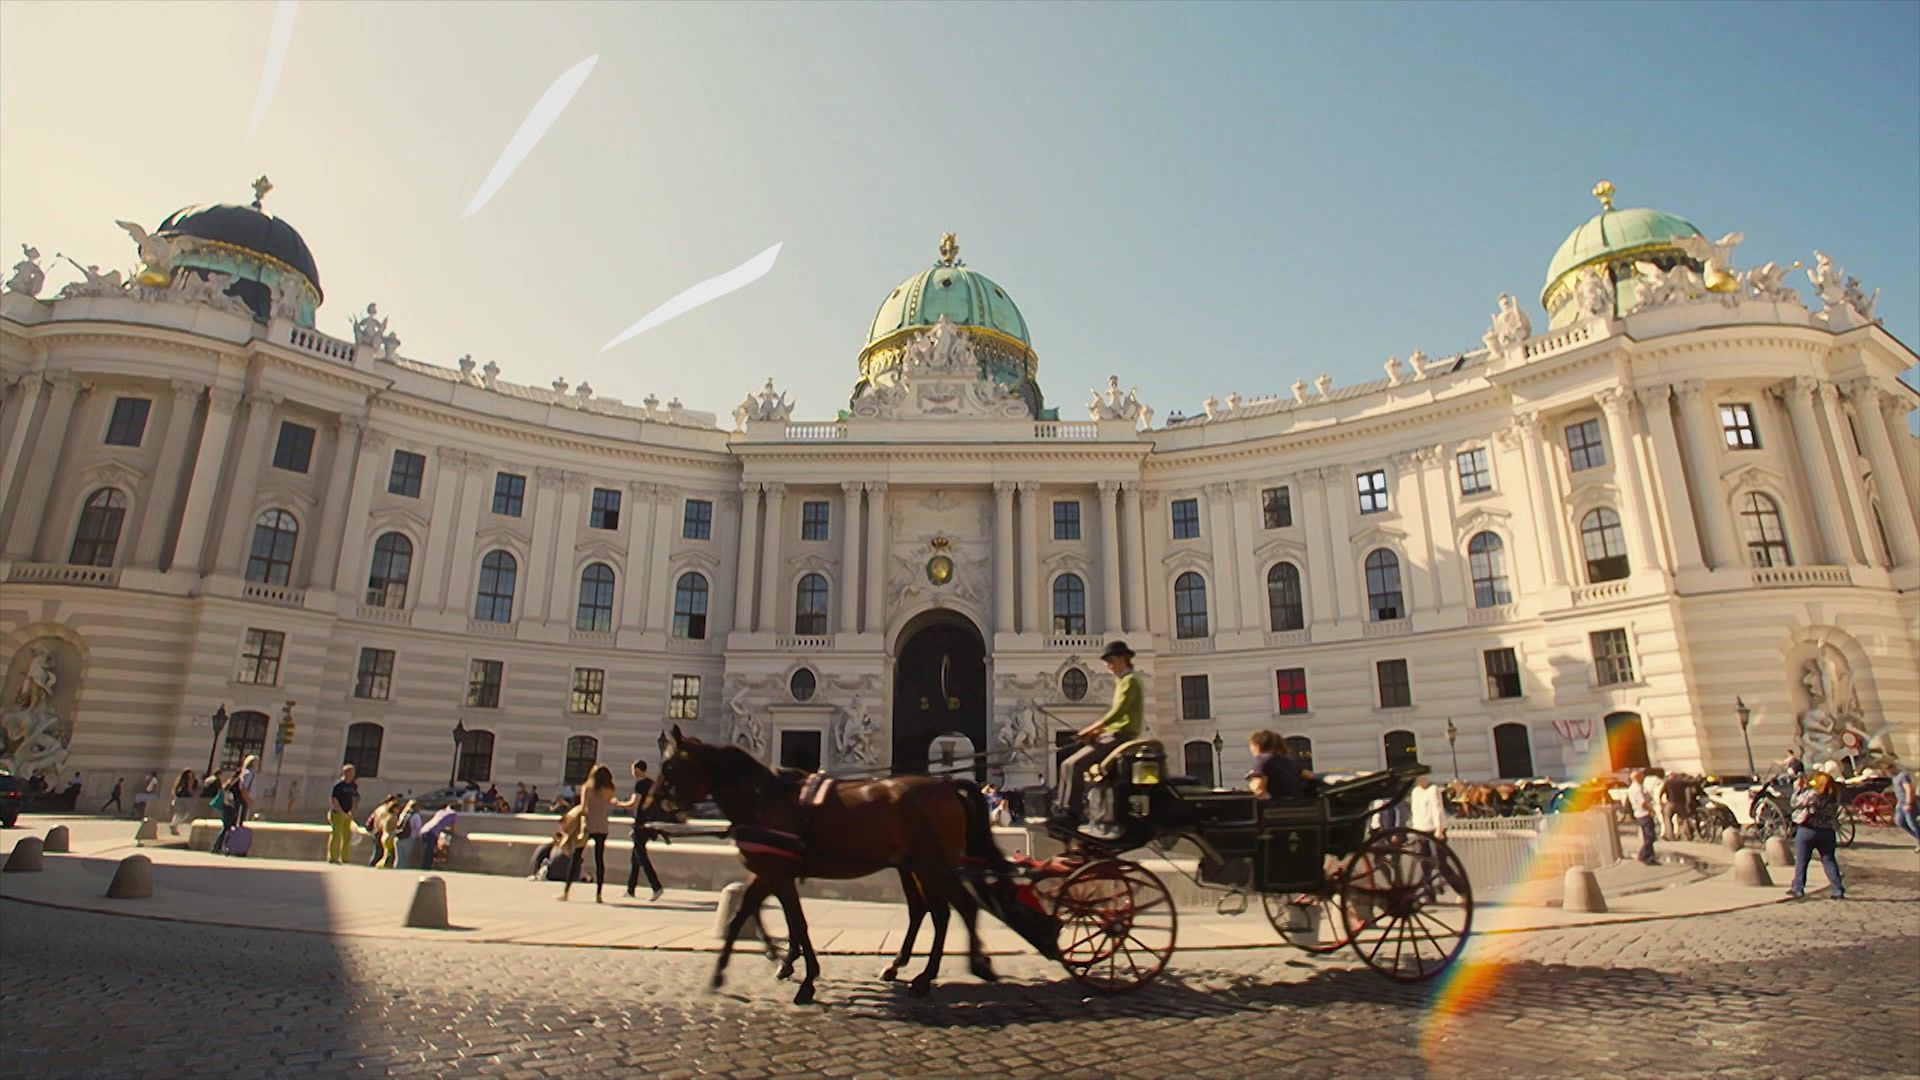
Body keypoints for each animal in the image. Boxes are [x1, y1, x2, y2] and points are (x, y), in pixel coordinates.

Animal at [648, 722, 1006, 999]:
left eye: (669, 767)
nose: (650, 807)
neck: (764, 798)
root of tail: (948, 785)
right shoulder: (771, 871)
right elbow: (749, 916)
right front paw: (727, 972)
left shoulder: (777, 873)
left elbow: (796, 922)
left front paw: (804, 977)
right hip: (917, 868)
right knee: (931, 911)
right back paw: (910, 968)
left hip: (932, 866)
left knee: (954, 910)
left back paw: (949, 972)